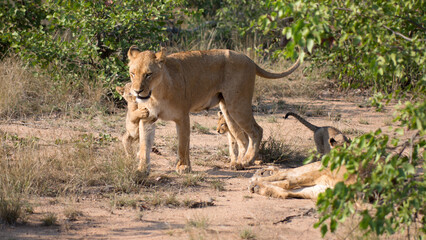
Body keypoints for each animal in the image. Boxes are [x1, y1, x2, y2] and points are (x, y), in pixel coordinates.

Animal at [126, 46, 300, 174]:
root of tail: (249, 59)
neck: (156, 93)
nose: (137, 91)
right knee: (242, 137)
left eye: (148, 74)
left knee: (257, 130)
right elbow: (144, 145)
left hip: (238, 104)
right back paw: (237, 164)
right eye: (132, 73)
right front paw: (141, 169)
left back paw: (247, 160)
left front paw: (183, 167)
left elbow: (183, 144)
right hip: (228, 110)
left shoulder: (182, 116)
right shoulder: (147, 118)